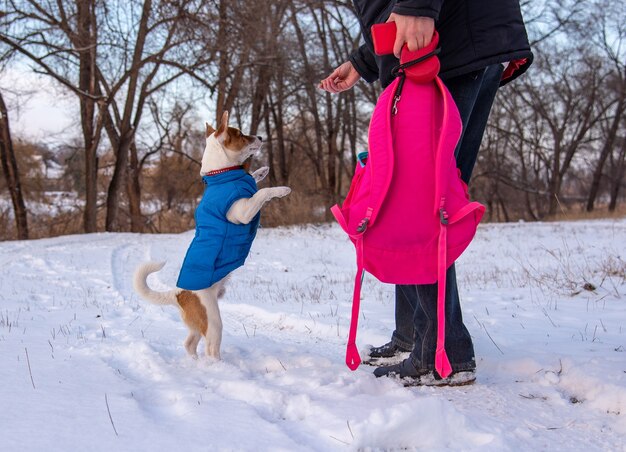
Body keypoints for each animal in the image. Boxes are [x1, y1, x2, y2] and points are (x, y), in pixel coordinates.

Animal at [134, 113, 290, 360]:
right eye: (241, 134)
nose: (260, 136)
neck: (222, 176)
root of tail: (179, 294)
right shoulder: (243, 212)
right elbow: (262, 193)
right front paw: (281, 189)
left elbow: (253, 181)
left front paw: (261, 171)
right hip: (213, 320)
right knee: (210, 348)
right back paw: (218, 366)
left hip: (198, 325)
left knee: (189, 343)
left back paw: (194, 362)